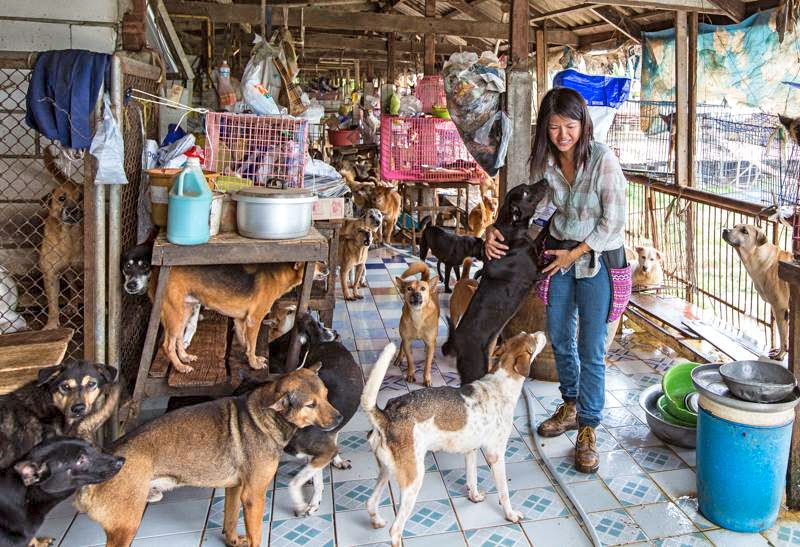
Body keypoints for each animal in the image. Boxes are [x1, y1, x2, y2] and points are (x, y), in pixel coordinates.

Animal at [75, 366, 341, 547]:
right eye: (310, 405)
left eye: (327, 394)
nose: (339, 418)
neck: (264, 416)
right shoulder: (253, 495)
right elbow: (255, 534)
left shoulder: (235, 488)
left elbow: (230, 519)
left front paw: (233, 541)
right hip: (126, 527)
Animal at [157, 261, 328, 373]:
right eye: (319, 262)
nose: (329, 269)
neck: (278, 275)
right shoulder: (254, 320)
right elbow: (252, 344)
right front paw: (254, 364)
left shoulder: (239, 320)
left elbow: (246, 343)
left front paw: (251, 358)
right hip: (175, 314)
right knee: (167, 345)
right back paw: (180, 366)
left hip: (184, 312)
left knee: (179, 338)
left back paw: (184, 357)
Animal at [362, 332, 547, 547]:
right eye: (533, 340)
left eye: (526, 335)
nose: (543, 333)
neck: (501, 382)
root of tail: (387, 414)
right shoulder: (496, 455)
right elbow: (504, 492)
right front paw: (510, 515)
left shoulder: (471, 450)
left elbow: (472, 479)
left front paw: (474, 497)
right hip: (413, 480)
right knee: (395, 530)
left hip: (387, 471)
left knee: (370, 502)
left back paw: (377, 521)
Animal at [443, 180, 549, 384]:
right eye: (526, 192)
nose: (546, 181)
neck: (512, 231)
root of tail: (457, 342)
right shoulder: (538, 271)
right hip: (475, 367)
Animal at [722, 224, 791, 359]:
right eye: (734, 226)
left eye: (744, 231)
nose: (725, 230)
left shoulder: (780, 309)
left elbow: (783, 336)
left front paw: (780, 355)